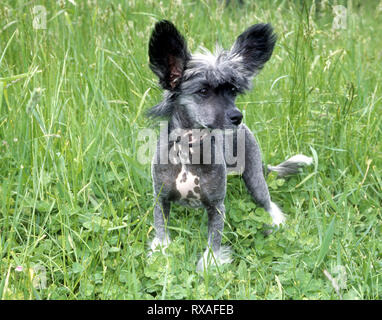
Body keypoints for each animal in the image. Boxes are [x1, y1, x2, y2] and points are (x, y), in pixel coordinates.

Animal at [146, 20, 310, 272]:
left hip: (255, 180)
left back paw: (276, 224)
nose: (237, 116)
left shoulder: (216, 207)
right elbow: (161, 234)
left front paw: (209, 265)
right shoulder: (161, 199)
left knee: (269, 204)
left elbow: (214, 241)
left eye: (232, 91)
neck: (188, 149)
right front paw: (161, 256)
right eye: (203, 91)